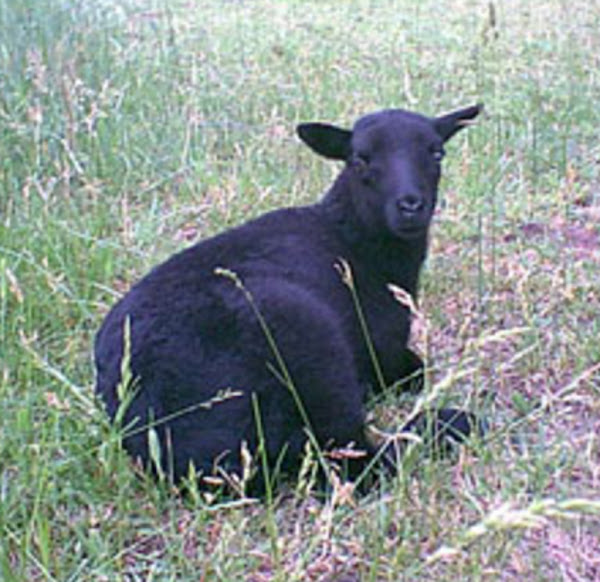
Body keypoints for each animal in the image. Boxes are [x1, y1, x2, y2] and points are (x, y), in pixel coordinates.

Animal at [96, 104, 486, 492]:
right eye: (359, 159)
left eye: (437, 153)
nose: (410, 205)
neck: (353, 241)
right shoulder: (381, 351)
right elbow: (414, 370)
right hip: (307, 342)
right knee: (354, 462)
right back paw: (451, 424)